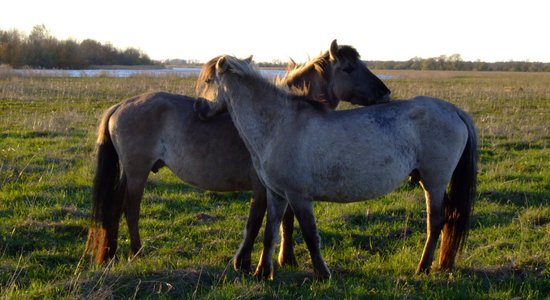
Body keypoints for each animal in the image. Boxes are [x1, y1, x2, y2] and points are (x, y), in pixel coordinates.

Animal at [85, 39, 392, 272]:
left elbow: (286, 220)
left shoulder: (285, 184)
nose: (385, 92)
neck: (276, 117)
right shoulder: (263, 187)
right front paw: (244, 263)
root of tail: (121, 105)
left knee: (115, 207)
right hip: (138, 173)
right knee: (130, 209)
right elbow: (256, 222)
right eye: (349, 68)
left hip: (130, 173)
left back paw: (110, 254)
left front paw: (287, 259)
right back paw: (135, 253)